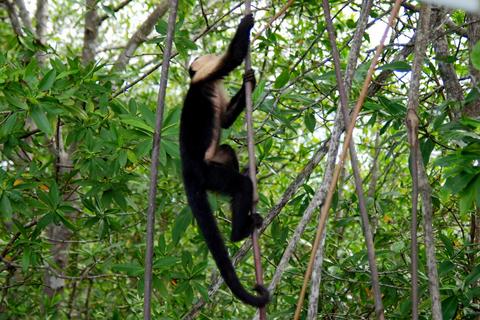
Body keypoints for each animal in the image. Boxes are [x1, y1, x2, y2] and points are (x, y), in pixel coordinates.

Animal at [180, 13, 270, 306]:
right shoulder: (206, 75)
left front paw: (249, 81)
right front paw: (246, 23)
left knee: (228, 150)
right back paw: (239, 233)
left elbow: (228, 120)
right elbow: (232, 57)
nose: (200, 55)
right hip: (208, 173)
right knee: (240, 185)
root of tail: (188, 172)